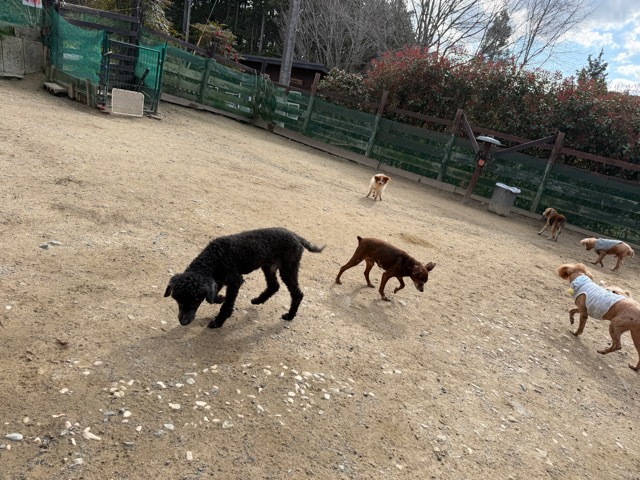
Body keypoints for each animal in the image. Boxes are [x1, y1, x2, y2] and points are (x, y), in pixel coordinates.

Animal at [164, 228, 324, 328]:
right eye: (178, 300)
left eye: (195, 300)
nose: (184, 322)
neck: (214, 258)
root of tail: (296, 236)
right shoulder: (218, 280)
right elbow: (215, 295)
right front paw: (219, 299)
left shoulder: (235, 281)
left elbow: (228, 304)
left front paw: (219, 321)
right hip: (269, 266)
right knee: (274, 286)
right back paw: (258, 300)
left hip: (288, 268)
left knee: (297, 294)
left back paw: (290, 315)